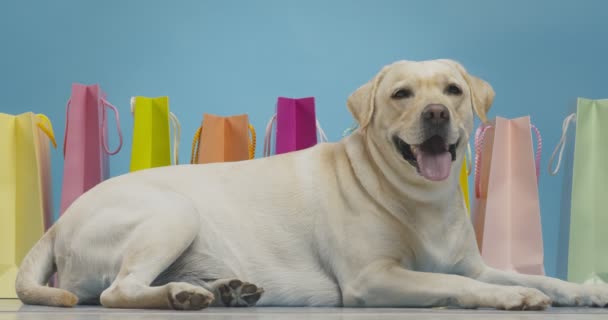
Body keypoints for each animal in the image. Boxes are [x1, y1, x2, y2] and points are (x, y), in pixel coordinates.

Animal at [16, 59, 604, 310]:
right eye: (401, 94)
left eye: (454, 91)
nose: (437, 113)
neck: (418, 197)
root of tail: (60, 222)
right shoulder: (373, 278)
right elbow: (454, 282)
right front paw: (513, 296)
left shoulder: (475, 265)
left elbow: (532, 276)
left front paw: (581, 289)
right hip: (173, 214)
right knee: (118, 291)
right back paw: (182, 296)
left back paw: (224, 289)